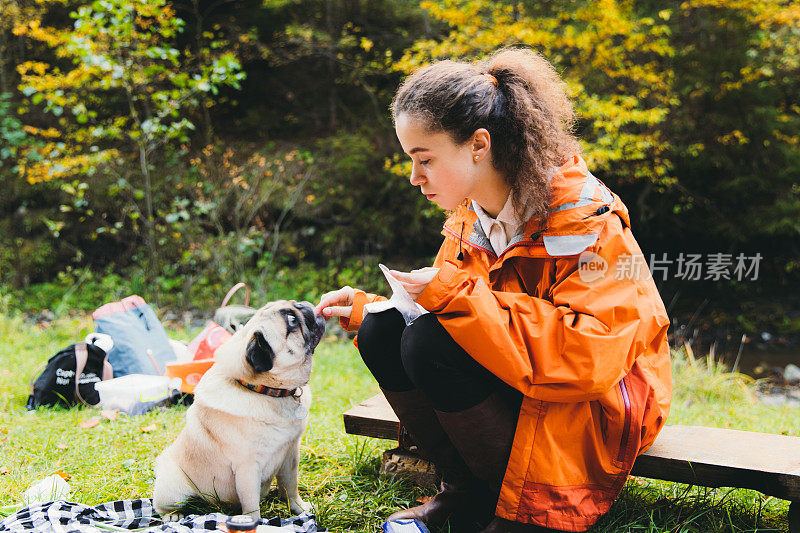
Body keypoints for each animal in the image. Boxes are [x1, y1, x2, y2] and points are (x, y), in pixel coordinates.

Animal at [152, 302, 326, 516]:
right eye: (292, 320)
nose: (303, 305)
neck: (266, 392)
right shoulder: (247, 468)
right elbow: (251, 505)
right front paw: (254, 521)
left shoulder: (290, 454)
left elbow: (290, 486)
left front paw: (299, 508)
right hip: (173, 488)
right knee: (162, 506)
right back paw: (173, 516)